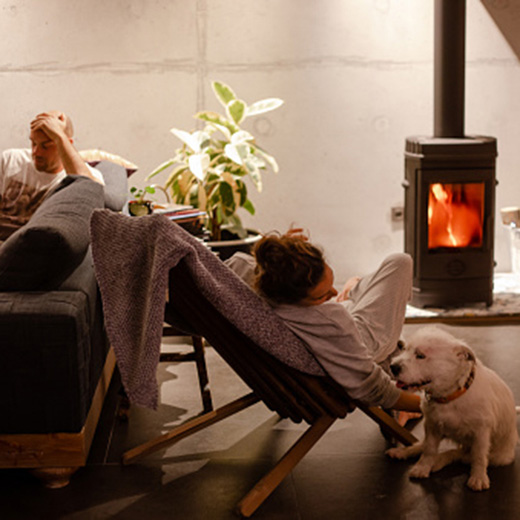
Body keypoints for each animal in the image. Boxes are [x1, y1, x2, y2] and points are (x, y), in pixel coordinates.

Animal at [384, 328, 516, 490]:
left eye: (420, 355)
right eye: (405, 350)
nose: (393, 367)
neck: (450, 396)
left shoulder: (481, 433)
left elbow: (479, 456)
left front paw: (478, 477)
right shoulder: (432, 426)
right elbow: (429, 449)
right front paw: (422, 467)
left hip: (498, 456)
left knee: (462, 455)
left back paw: (439, 460)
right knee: (426, 445)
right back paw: (404, 452)